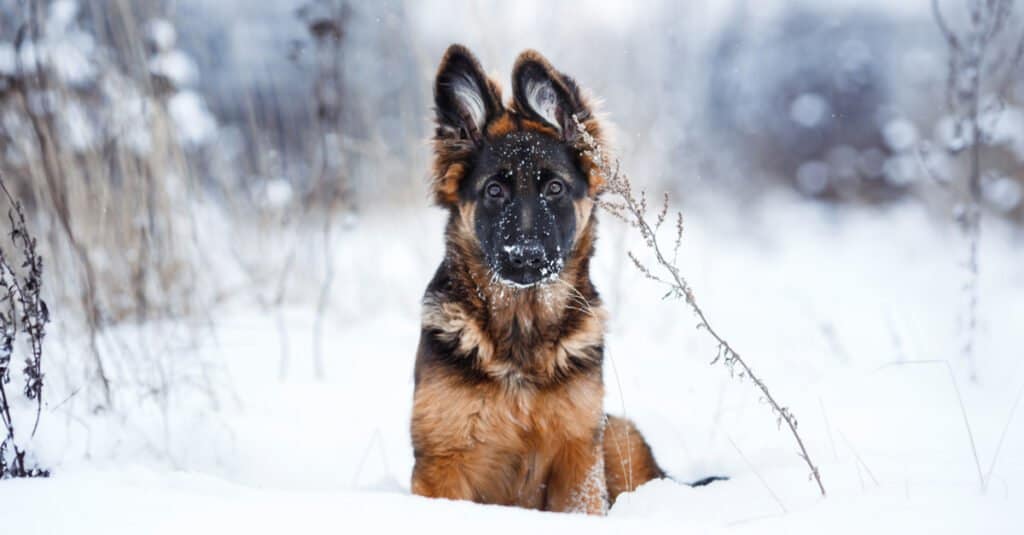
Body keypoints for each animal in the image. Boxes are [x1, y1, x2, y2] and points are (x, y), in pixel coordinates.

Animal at [409, 44, 663, 512]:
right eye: (494, 191)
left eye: (555, 189)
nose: (526, 257)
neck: (520, 337)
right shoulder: (443, 460)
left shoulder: (579, 457)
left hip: (619, 432)